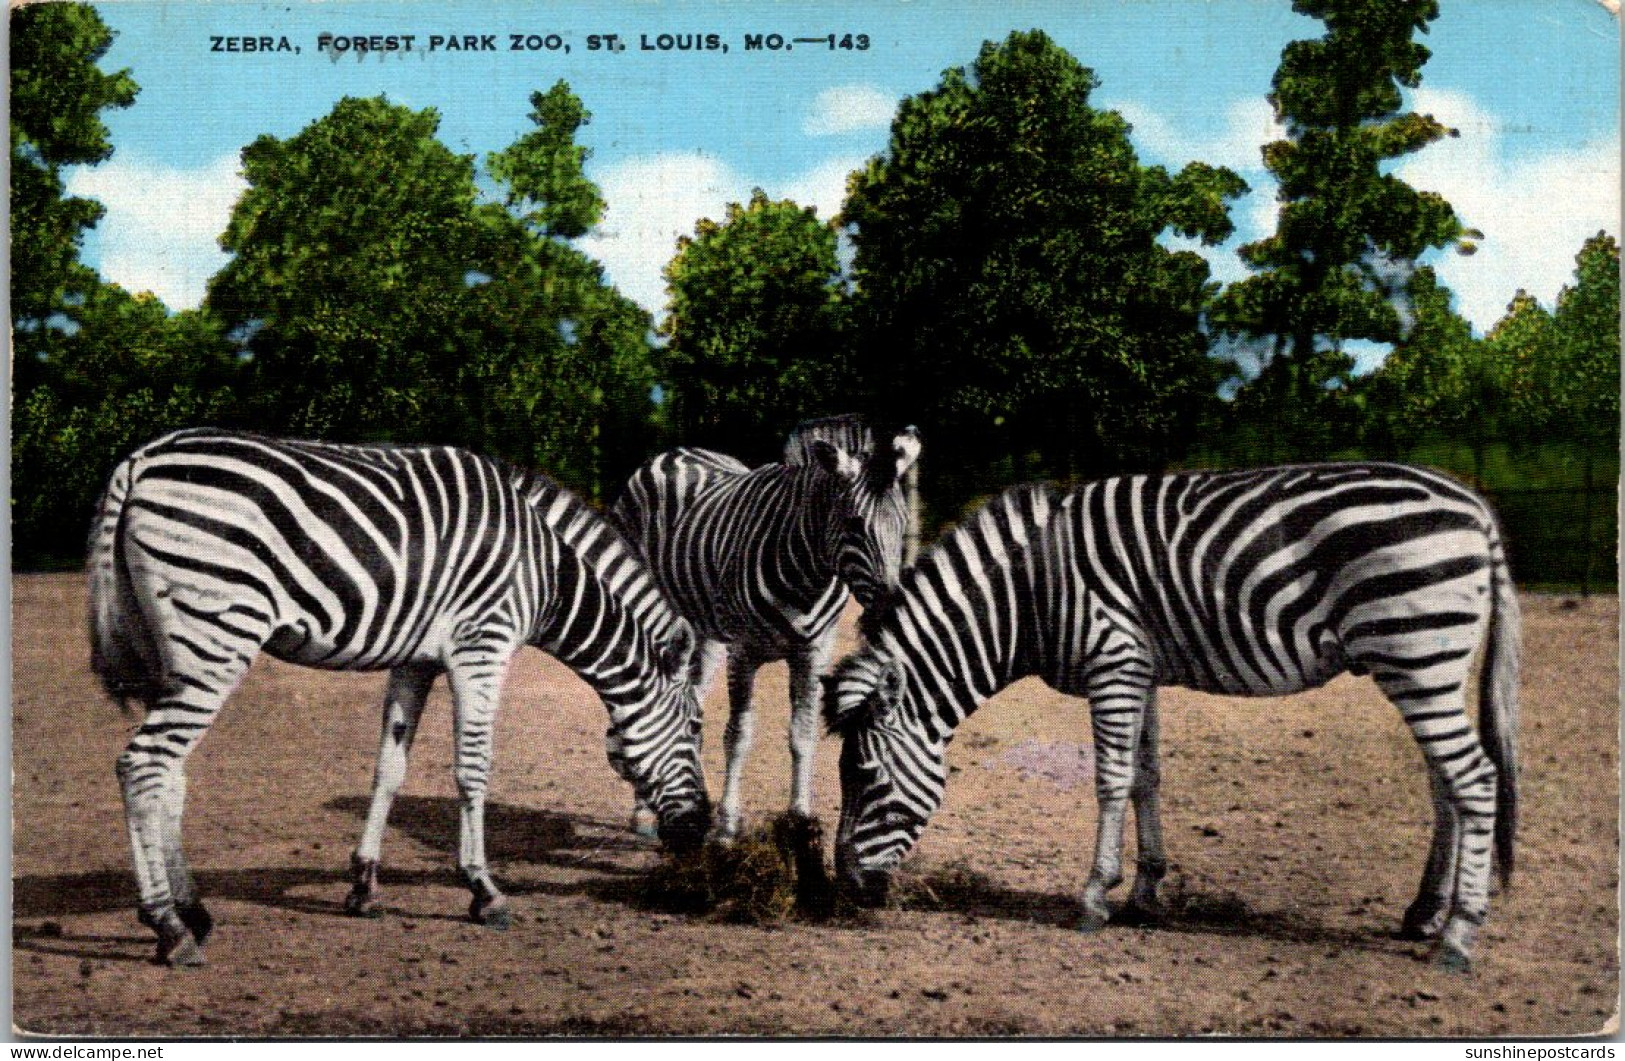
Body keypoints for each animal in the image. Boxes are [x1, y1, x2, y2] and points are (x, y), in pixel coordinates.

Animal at [87, 428, 711, 968]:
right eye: (695, 729)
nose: (701, 829)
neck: (548, 570)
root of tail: (141, 460)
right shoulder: (482, 645)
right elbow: (473, 769)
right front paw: (484, 891)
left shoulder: (417, 659)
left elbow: (390, 768)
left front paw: (364, 886)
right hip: (217, 636)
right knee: (141, 765)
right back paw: (168, 926)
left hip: (176, 652)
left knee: (169, 774)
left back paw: (193, 910)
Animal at [611, 414, 923, 838]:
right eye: (855, 523)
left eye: (904, 523)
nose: (889, 612)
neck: (808, 576)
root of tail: (677, 451)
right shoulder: (744, 653)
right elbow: (739, 735)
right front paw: (728, 823)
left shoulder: (812, 654)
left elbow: (803, 735)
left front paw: (799, 817)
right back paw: (644, 811)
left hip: (707, 633)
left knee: (690, 700)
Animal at [825, 461, 1521, 968]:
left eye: (867, 779)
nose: (844, 893)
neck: (1033, 591)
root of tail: (1476, 506)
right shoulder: (1140, 670)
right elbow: (1145, 778)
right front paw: (1145, 891)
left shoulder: (1113, 662)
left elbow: (1110, 781)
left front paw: (1094, 898)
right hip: (1427, 661)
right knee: (1447, 783)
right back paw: (1423, 913)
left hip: (1414, 650)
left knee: (1475, 779)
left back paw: (1459, 934)